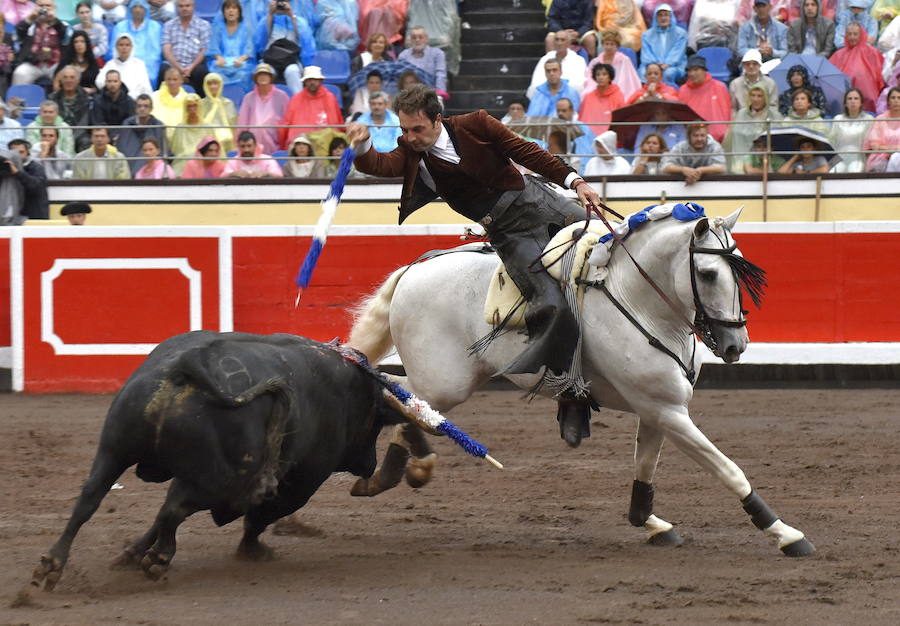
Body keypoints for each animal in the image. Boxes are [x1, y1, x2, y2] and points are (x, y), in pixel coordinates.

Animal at [31, 332, 410, 584]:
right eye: (376, 420)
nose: (369, 464)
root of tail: (188, 364)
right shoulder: (299, 484)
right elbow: (257, 518)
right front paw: (252, 551)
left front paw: (131, 553)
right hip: (223, 479)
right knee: (174, 509)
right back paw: (159, 559)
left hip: (114, 450)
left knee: (90, 499)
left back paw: (52, 563)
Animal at [344, 205, 816, 556]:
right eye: (709, 274)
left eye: (737, 271)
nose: (737, 344)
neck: (639, 303)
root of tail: (414, 269)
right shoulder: (668, 411)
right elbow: (729, 469)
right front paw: (785, 533)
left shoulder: (660, 409)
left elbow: (645, 466)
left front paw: (651, 523)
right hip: (446, 380)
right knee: (401, 395)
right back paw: (403, 468)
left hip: (446, 381)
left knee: (409, 403)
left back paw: (396, 471)